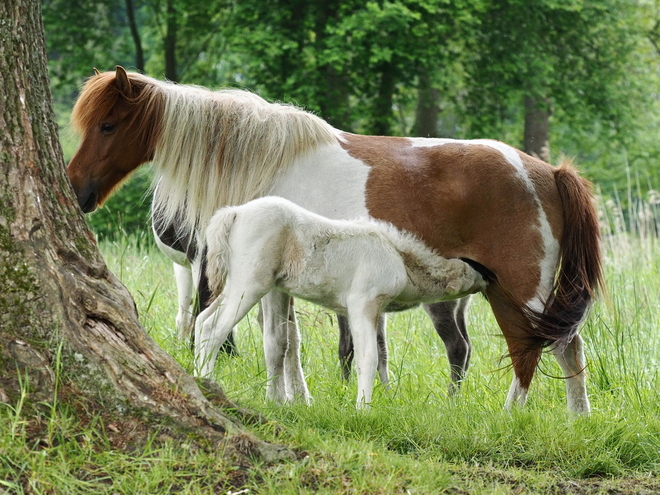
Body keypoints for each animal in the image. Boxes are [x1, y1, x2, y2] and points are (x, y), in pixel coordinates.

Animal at [193, 196, 488, 408]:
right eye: (475, 270)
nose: (489, 279)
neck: (399, 257)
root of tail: (234, 213)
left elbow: (378, 353)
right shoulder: (363, 303)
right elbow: (367, 356)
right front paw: (363, 408)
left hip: (255, 286)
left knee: (207, 321)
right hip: (250, 283)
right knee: (214, 328)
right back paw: (207, 382)